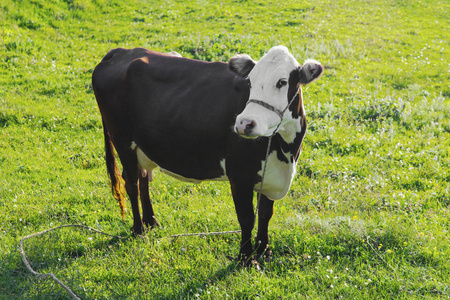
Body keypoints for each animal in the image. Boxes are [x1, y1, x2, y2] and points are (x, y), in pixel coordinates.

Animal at [91, 45, 324, 264]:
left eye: (282, 82)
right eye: (250, 82)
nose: (244, 123)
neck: (284, 150)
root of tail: (121, 51)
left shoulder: (271, 174)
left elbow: (266, 214)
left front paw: (264, 250)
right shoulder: (239, 176)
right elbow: (247, 218)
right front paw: (245, 258)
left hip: (143, 146)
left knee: (143, 178)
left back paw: (151, 221)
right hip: (122, 139)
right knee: (130, 182)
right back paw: (138, 228)